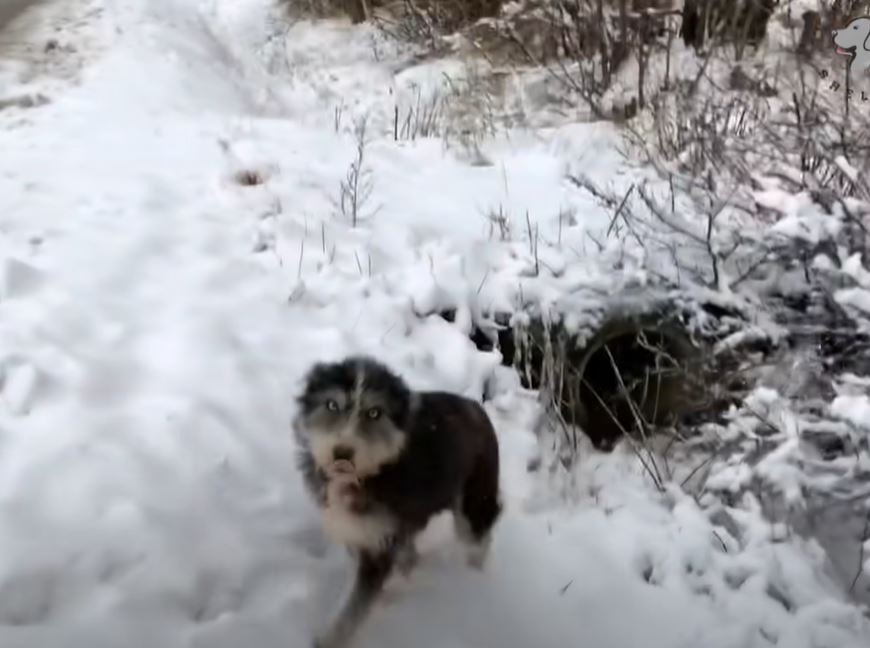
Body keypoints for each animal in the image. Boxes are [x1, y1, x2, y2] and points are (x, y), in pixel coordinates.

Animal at [293, 355, 502, 648]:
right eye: (332, 404)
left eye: (374, 412)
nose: (342, 454)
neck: (367, 474)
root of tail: (475, 405)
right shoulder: (364, 532)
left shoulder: (378, 544)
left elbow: (354, 605)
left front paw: (329, 639)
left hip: (474, 500)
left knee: (477, 538)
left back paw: (473, 582)